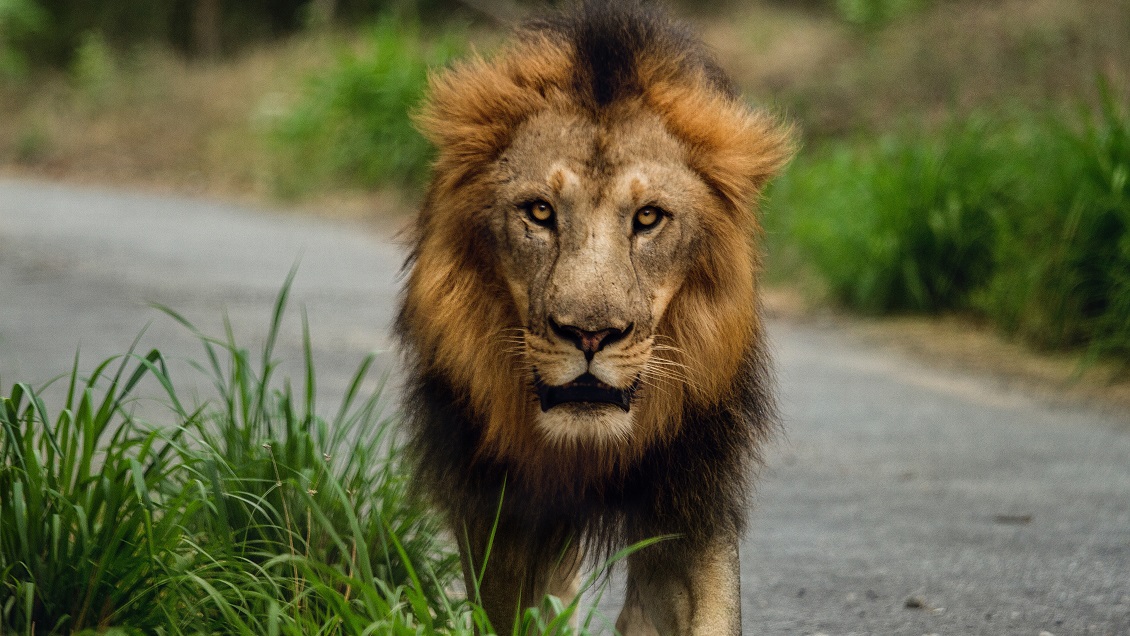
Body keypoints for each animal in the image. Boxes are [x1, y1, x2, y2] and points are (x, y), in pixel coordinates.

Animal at [395, 1, 793, 633]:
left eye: (649, 217)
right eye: (539, 212)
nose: (590, 335)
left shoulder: (688, 502)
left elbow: (710, 611)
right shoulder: (502, 518)